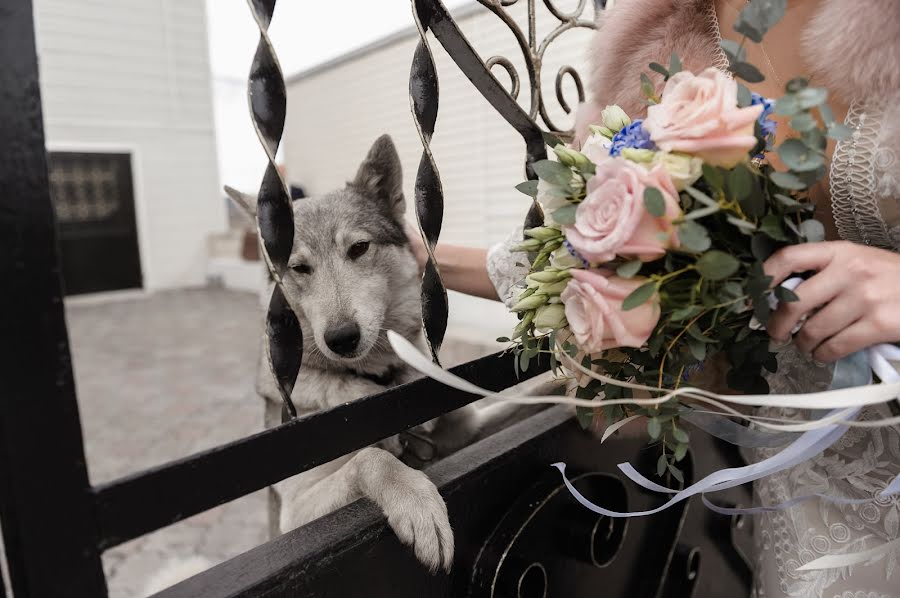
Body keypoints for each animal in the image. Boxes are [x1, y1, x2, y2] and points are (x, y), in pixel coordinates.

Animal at [227, 137, 536, 576]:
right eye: (299, 268)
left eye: (359, 248)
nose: (341, 338)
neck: (378, 383)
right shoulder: (295, 515)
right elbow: (372, 457)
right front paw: (417, 502)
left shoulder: (470, 430)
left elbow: (527, 399)